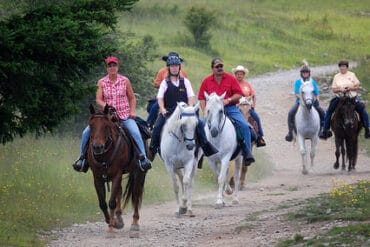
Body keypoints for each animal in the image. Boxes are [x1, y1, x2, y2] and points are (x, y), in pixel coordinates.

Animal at [86, 104, 146, 237]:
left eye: (106, 126)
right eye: (91, 125)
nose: (97, 147)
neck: (104, 156)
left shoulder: (117, 175)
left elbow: (112, 202)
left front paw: (111, 228)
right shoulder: (97, 178)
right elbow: (103, 203)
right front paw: (112, 222)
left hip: (139, 172)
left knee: (136, 194)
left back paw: (134, 223)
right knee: (120, 191)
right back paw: (119, 219)